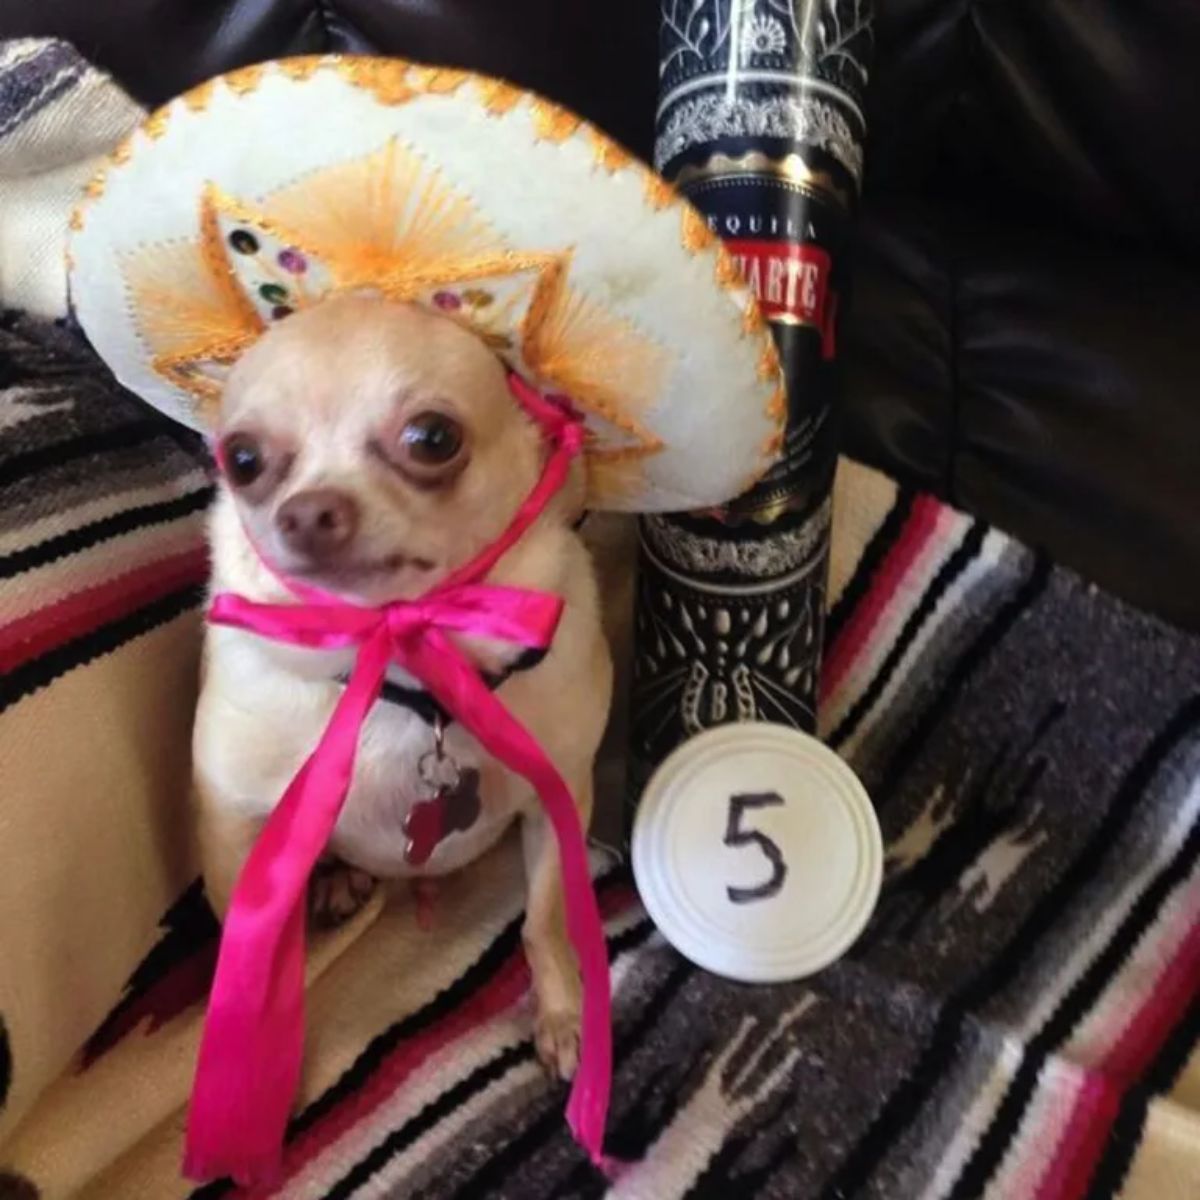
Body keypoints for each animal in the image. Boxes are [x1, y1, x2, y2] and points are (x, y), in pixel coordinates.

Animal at [195, 292, 614, 1080]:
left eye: (432, 438)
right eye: (242, 459)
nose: (307, 510)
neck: (400, 658)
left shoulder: (558, 800)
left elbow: (544, 923)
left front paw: (564, 1015)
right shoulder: (235, 830)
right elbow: (252, 975)